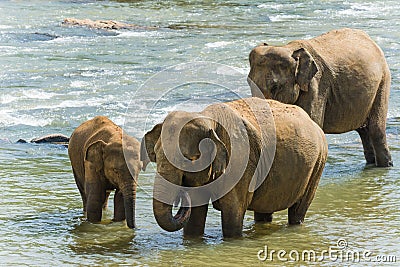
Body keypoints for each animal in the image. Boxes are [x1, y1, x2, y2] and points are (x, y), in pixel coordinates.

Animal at [141, 98, 328, 239]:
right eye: (156, 156)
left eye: (188, 160)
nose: (181, 195)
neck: (208, 118)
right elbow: (195, 215)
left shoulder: (240, 160)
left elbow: (232, 213)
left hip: (318, 163)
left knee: (298, 210)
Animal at [248, 27, 392, 168]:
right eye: (249, 82)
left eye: (275, 87)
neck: (289, 48)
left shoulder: (317, 86)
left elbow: (313, 122)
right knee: (363, 130)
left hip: (383, 80)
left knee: (375, 129)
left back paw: (385, 166)